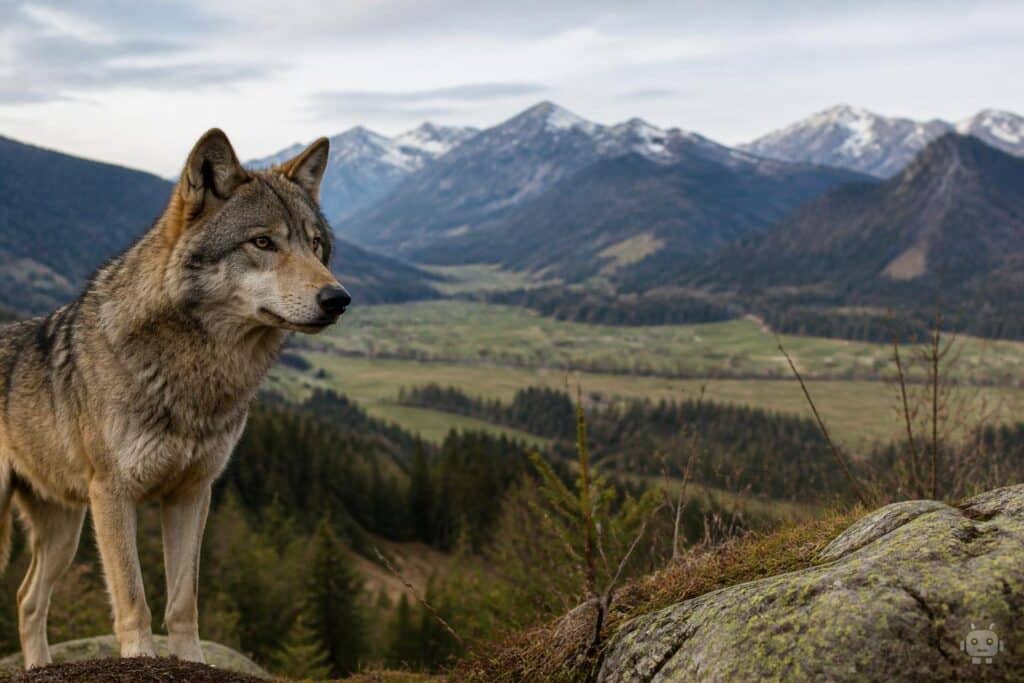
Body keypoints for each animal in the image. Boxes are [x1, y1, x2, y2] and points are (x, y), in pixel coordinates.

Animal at [0, 129, 349, 668]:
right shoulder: (113, 495)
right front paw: (142, 656)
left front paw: (192, 661)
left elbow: (184, 599)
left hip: (65, 532)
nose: (338, 299)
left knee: (26, 599)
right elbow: (133, 595)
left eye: (315, 245)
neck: (195, 374)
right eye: (263, 242)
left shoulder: (192, 493)